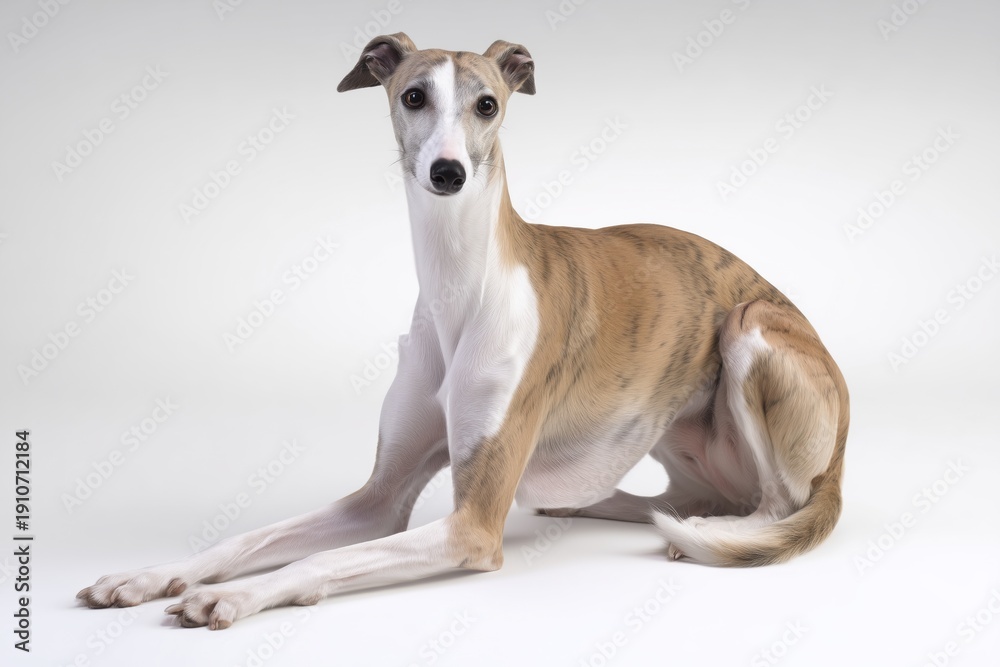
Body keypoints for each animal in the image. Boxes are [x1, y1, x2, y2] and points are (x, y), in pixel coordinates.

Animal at [78, 33, 849, 630]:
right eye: (413, 96)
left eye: (487, 104)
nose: (446, 172)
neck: (461, 286)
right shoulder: (380, 497)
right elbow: (258, 534)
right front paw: (153, 574)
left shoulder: (471, 527)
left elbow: (321, 556)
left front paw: (236, 595)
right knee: (678, 498)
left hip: (749, 331)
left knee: (777, 503)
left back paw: (713, 536)